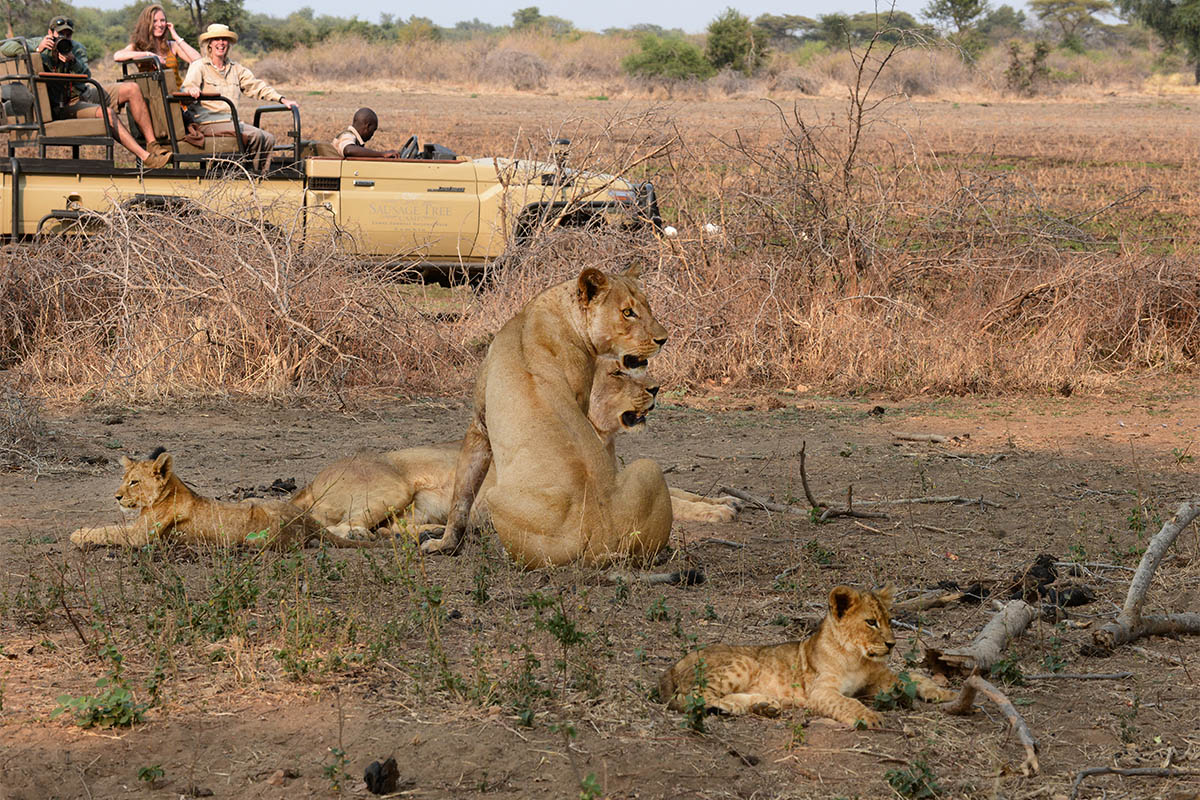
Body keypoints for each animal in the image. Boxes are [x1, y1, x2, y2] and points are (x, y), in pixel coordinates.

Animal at [69, 448, 360, 550]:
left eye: (134, 482)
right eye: (124, 478)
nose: (116, 496)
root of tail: (306, 520)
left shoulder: (139, 536)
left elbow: (109, 531)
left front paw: (78, 534)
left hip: (260, 534)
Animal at [419, 266, 672, 567]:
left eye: (647, 306)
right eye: (628, 312)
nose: (663, 339)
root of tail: (601, 533)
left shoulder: (480, 425)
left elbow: (462, 495)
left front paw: (446, 544)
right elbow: (462, 494)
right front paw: (446, 545)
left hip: (495, 497)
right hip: (650, 467)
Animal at [658, 585, 954, 726]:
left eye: (890, 621)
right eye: (871, 622)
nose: (891, 645)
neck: (857, 658)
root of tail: (670, 668)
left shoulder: (876, 681)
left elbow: (913, 676)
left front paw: (943, 692)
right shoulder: (821, 691)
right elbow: (847, 703)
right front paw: (869, 717)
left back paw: (764, 705)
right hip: (742, 662)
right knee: (691, 697)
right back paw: (736, 706)